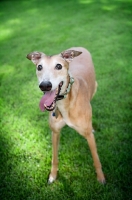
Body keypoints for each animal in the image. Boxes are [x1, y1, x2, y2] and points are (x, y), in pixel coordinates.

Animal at [26, 46, 105, 184]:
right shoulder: (55, 132)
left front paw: (101, 178)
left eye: (58, 66)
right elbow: (54, 158)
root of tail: (79, 46)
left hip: (95, 87)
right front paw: (52, 176)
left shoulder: (88, 136)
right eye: (39, 67)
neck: (64, 104)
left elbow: (96, 159)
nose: (45, 85)